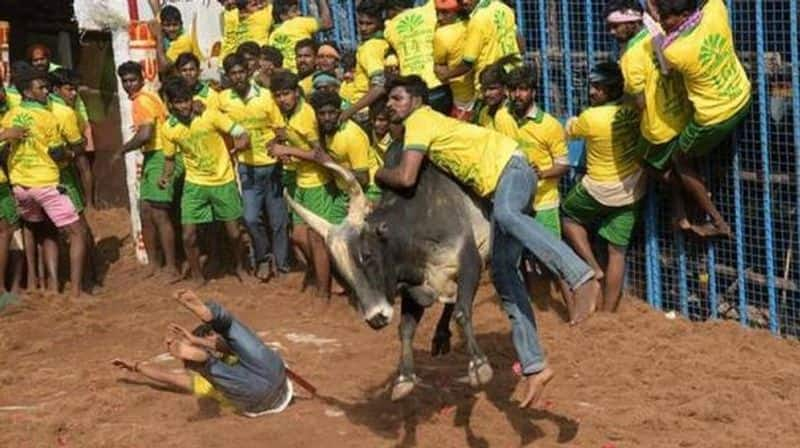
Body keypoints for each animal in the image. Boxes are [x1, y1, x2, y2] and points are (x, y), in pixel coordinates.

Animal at [288, 149, 494, 400]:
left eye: (367, 254)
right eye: (341, 271)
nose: (376, 318)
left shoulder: (470, 261)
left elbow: (462, 313)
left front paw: (479, 365)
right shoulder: (414, 288)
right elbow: (405, 328)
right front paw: (404, 378)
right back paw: (440, 336)